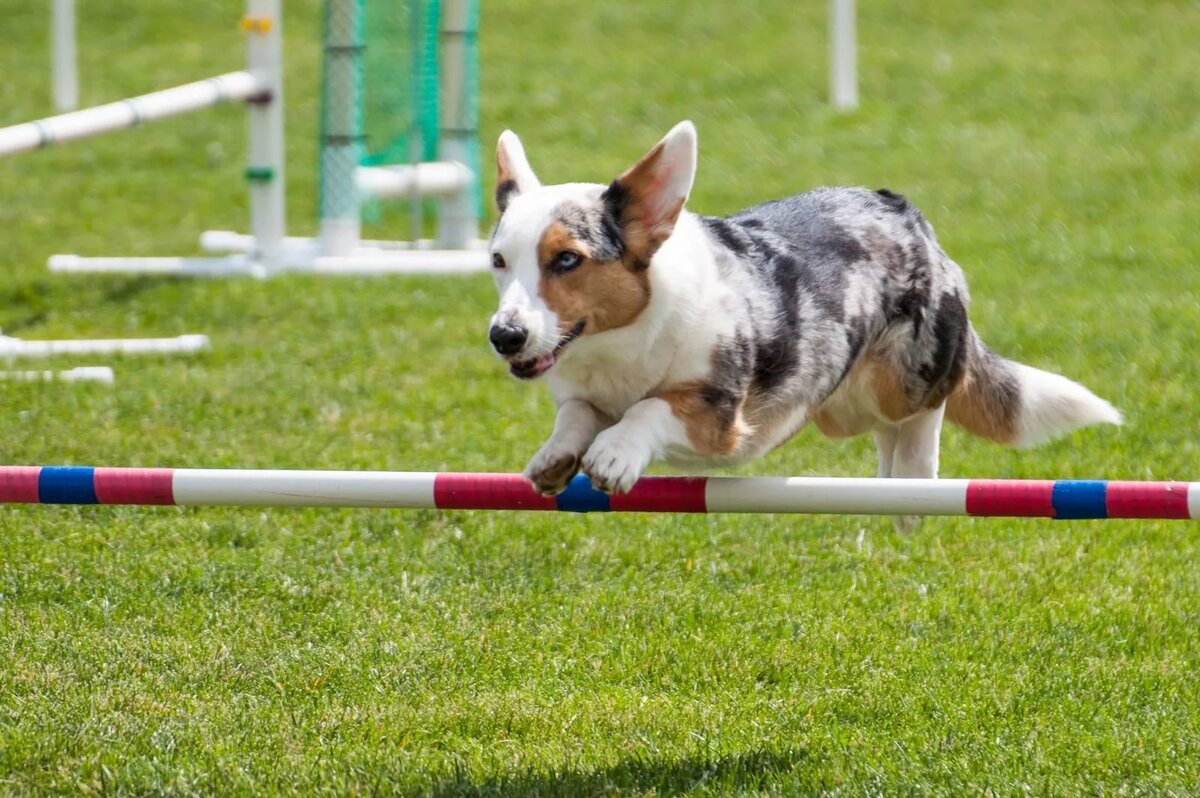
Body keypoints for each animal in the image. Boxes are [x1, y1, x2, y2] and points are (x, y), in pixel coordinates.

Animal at [482, 120, 1118, 528]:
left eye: (567, 260)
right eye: (497, 261)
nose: (504, 337)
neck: (618, 347)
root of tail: (906, 212)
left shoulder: (718, 415)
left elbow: (650, 409)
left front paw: (614, 454)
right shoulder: (582, 393)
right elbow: (575, 415)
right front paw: (553, 459)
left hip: (903, 376)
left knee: (927, 408)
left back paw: (913, 488)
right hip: (840, 405)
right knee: (883, 434)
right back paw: (890, 488)